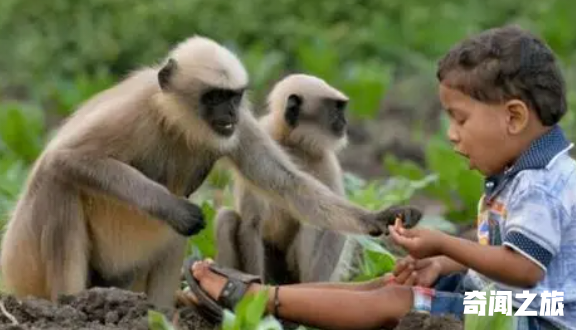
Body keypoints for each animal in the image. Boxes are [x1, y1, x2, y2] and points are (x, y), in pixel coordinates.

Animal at [215, 74, 418, 284]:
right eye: (337, 108)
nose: (344, 121)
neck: (292, 143)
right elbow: (251, 223)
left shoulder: (327, 160)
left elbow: (334, 226)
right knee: (227, 217)